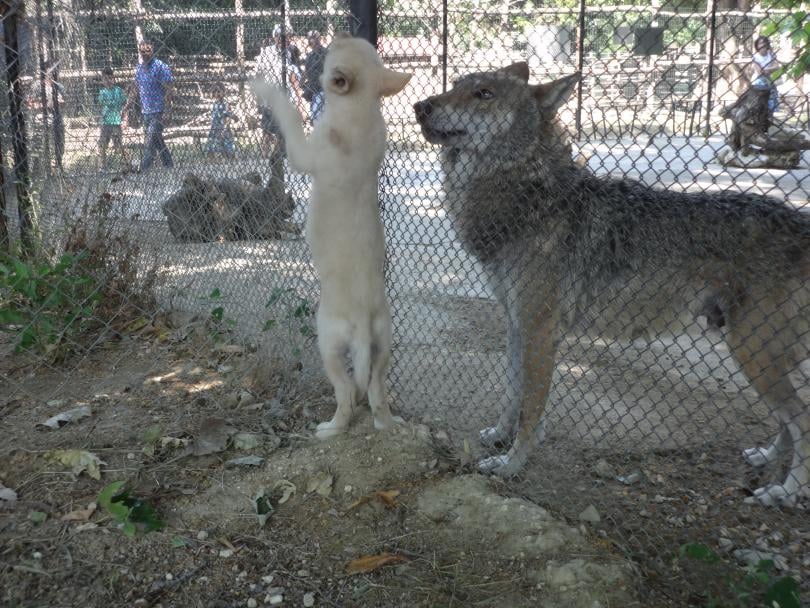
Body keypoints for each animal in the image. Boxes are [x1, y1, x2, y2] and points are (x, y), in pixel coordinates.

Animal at [251, 34, 410, 436]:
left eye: (331, 54)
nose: (336, 35)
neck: (361, 107)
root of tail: (363, 318)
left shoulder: (304, 153)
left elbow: (289, 118)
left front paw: (268, 91)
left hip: (328, 343)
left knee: (346, 394)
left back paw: (330, 429)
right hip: (383, 347)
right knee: (376, 391)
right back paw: (388, 423)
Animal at [416, 63, 808, 508]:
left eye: (484, 94)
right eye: (456, 85)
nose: (420, 106)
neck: (529, 198)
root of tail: (804, 225)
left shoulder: (539, 331)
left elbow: (530, 410)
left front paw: (511, 465)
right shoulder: (516, 324)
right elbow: (512, 394)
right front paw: (499, 437)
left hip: (753, 352)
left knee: (802, 420)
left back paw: (786, 490)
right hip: (761, 354)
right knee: (790, 420)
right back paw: (766, 456)